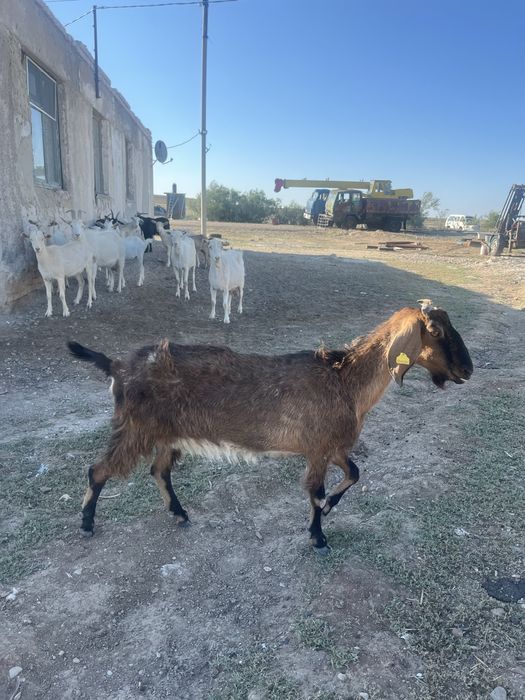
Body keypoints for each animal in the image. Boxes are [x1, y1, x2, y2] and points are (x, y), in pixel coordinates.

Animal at [67, 303, 473, 549]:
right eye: (435, 331)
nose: (467, 370)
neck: (346, 381)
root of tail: (117, 365)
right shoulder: (319, 449)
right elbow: (314, 492)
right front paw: (318, 537)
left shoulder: (332, 446)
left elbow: (354, 473)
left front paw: (330, 509)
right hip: (136, 428)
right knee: (98, 469)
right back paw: (87, 524)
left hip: (168, 433)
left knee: (158, 470)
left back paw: (180, 514)